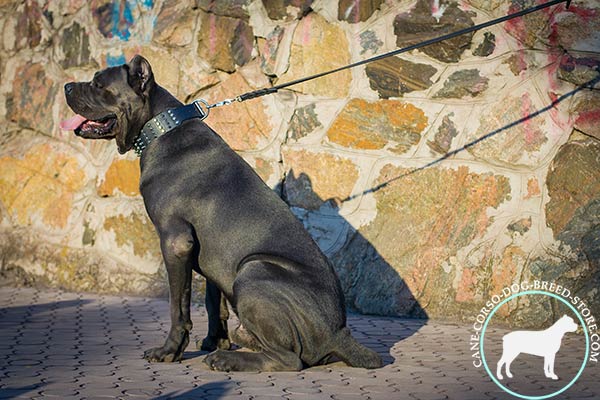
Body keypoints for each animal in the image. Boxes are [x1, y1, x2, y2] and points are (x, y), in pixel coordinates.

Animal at [61, 54, 380, 372]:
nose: (67, 86)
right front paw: (215, 341)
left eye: (98, 84)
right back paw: (239, 342)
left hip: (253, 270)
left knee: (288, 359)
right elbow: (214, 303)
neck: (161, 127)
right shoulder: (210, 255)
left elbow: (178, 306)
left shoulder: (176, 242)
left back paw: (229, 359)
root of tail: (340, 333)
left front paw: (170, 351)